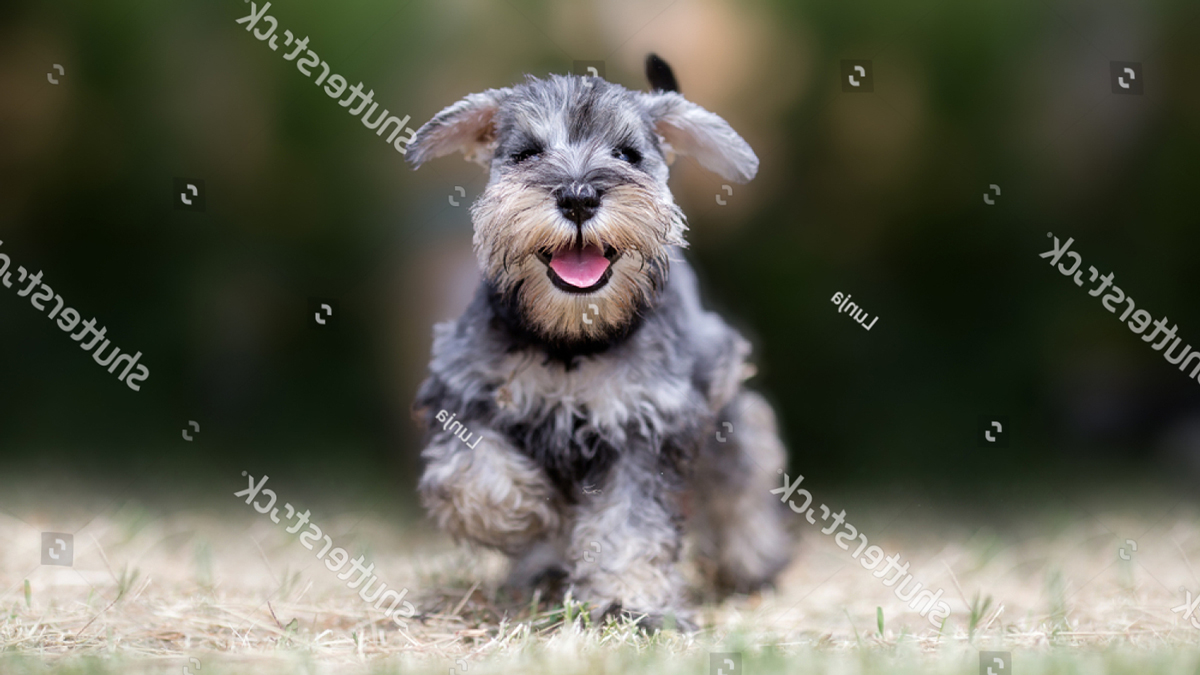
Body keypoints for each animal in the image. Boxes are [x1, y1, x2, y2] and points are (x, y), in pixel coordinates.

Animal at [408, 52, 792, 624]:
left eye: (628, 154)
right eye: (527, 153)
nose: (578, 196)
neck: (574, 339)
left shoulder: (646, 426)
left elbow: (629, 524)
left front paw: (627, 598)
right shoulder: (464, 390)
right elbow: (473, 475)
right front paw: (529, 515)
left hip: (727, 413)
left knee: (742, 478)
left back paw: (754, 561)